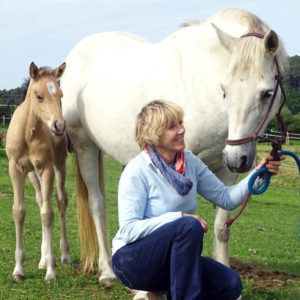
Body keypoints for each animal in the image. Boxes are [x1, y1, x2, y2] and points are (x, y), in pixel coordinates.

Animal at [5, 61, 69, 282]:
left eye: (60, 95)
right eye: (38, 95)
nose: (58, 126)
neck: (27, 133)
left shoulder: (47, 168)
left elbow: (48, 214)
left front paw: (51, 272)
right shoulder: (16, 169)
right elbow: (18, 211)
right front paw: (18, 270)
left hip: (59, 165)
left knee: (60, 201)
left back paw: (63, 256)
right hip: (33, 174)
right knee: (41, 200)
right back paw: (42, 259)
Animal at [60, 8, 288, 288]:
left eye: (266, 93)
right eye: (225, 90)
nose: (239, 159)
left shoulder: (226, 171)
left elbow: (221, 227)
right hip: (85, 147)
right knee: (97, 204)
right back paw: (107, 271)